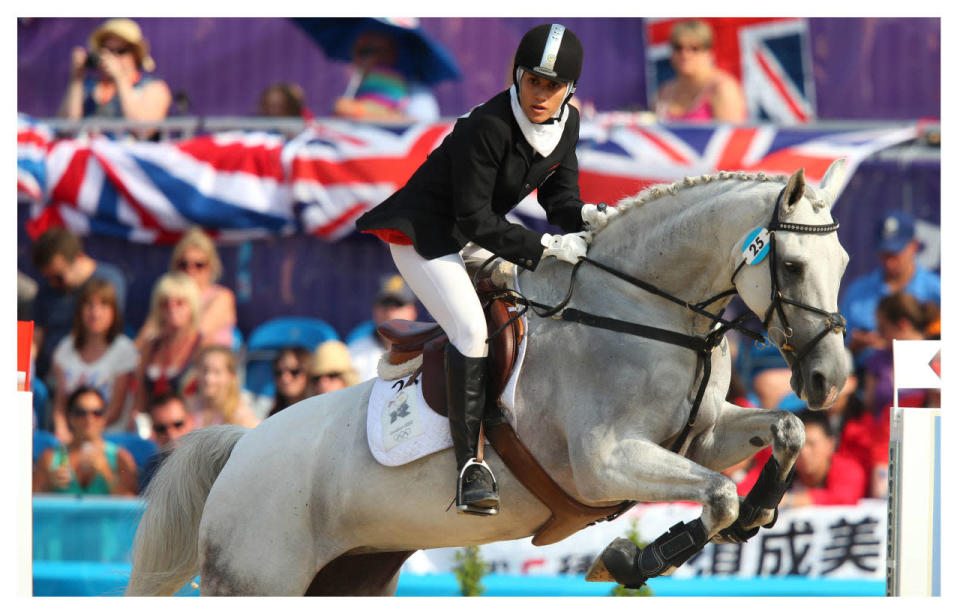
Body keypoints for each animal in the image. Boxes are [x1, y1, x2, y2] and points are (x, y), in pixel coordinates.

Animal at [125, 161, 848, 600]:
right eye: (789, 264)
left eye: (842, 261)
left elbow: (780, 433)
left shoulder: (701, 438)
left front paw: (760, 510)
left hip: (351, 575)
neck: (647, 310)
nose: (829, 379)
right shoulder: (602, 463)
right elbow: (718, 496)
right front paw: (626, 561)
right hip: (258, 577)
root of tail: (239, 449)